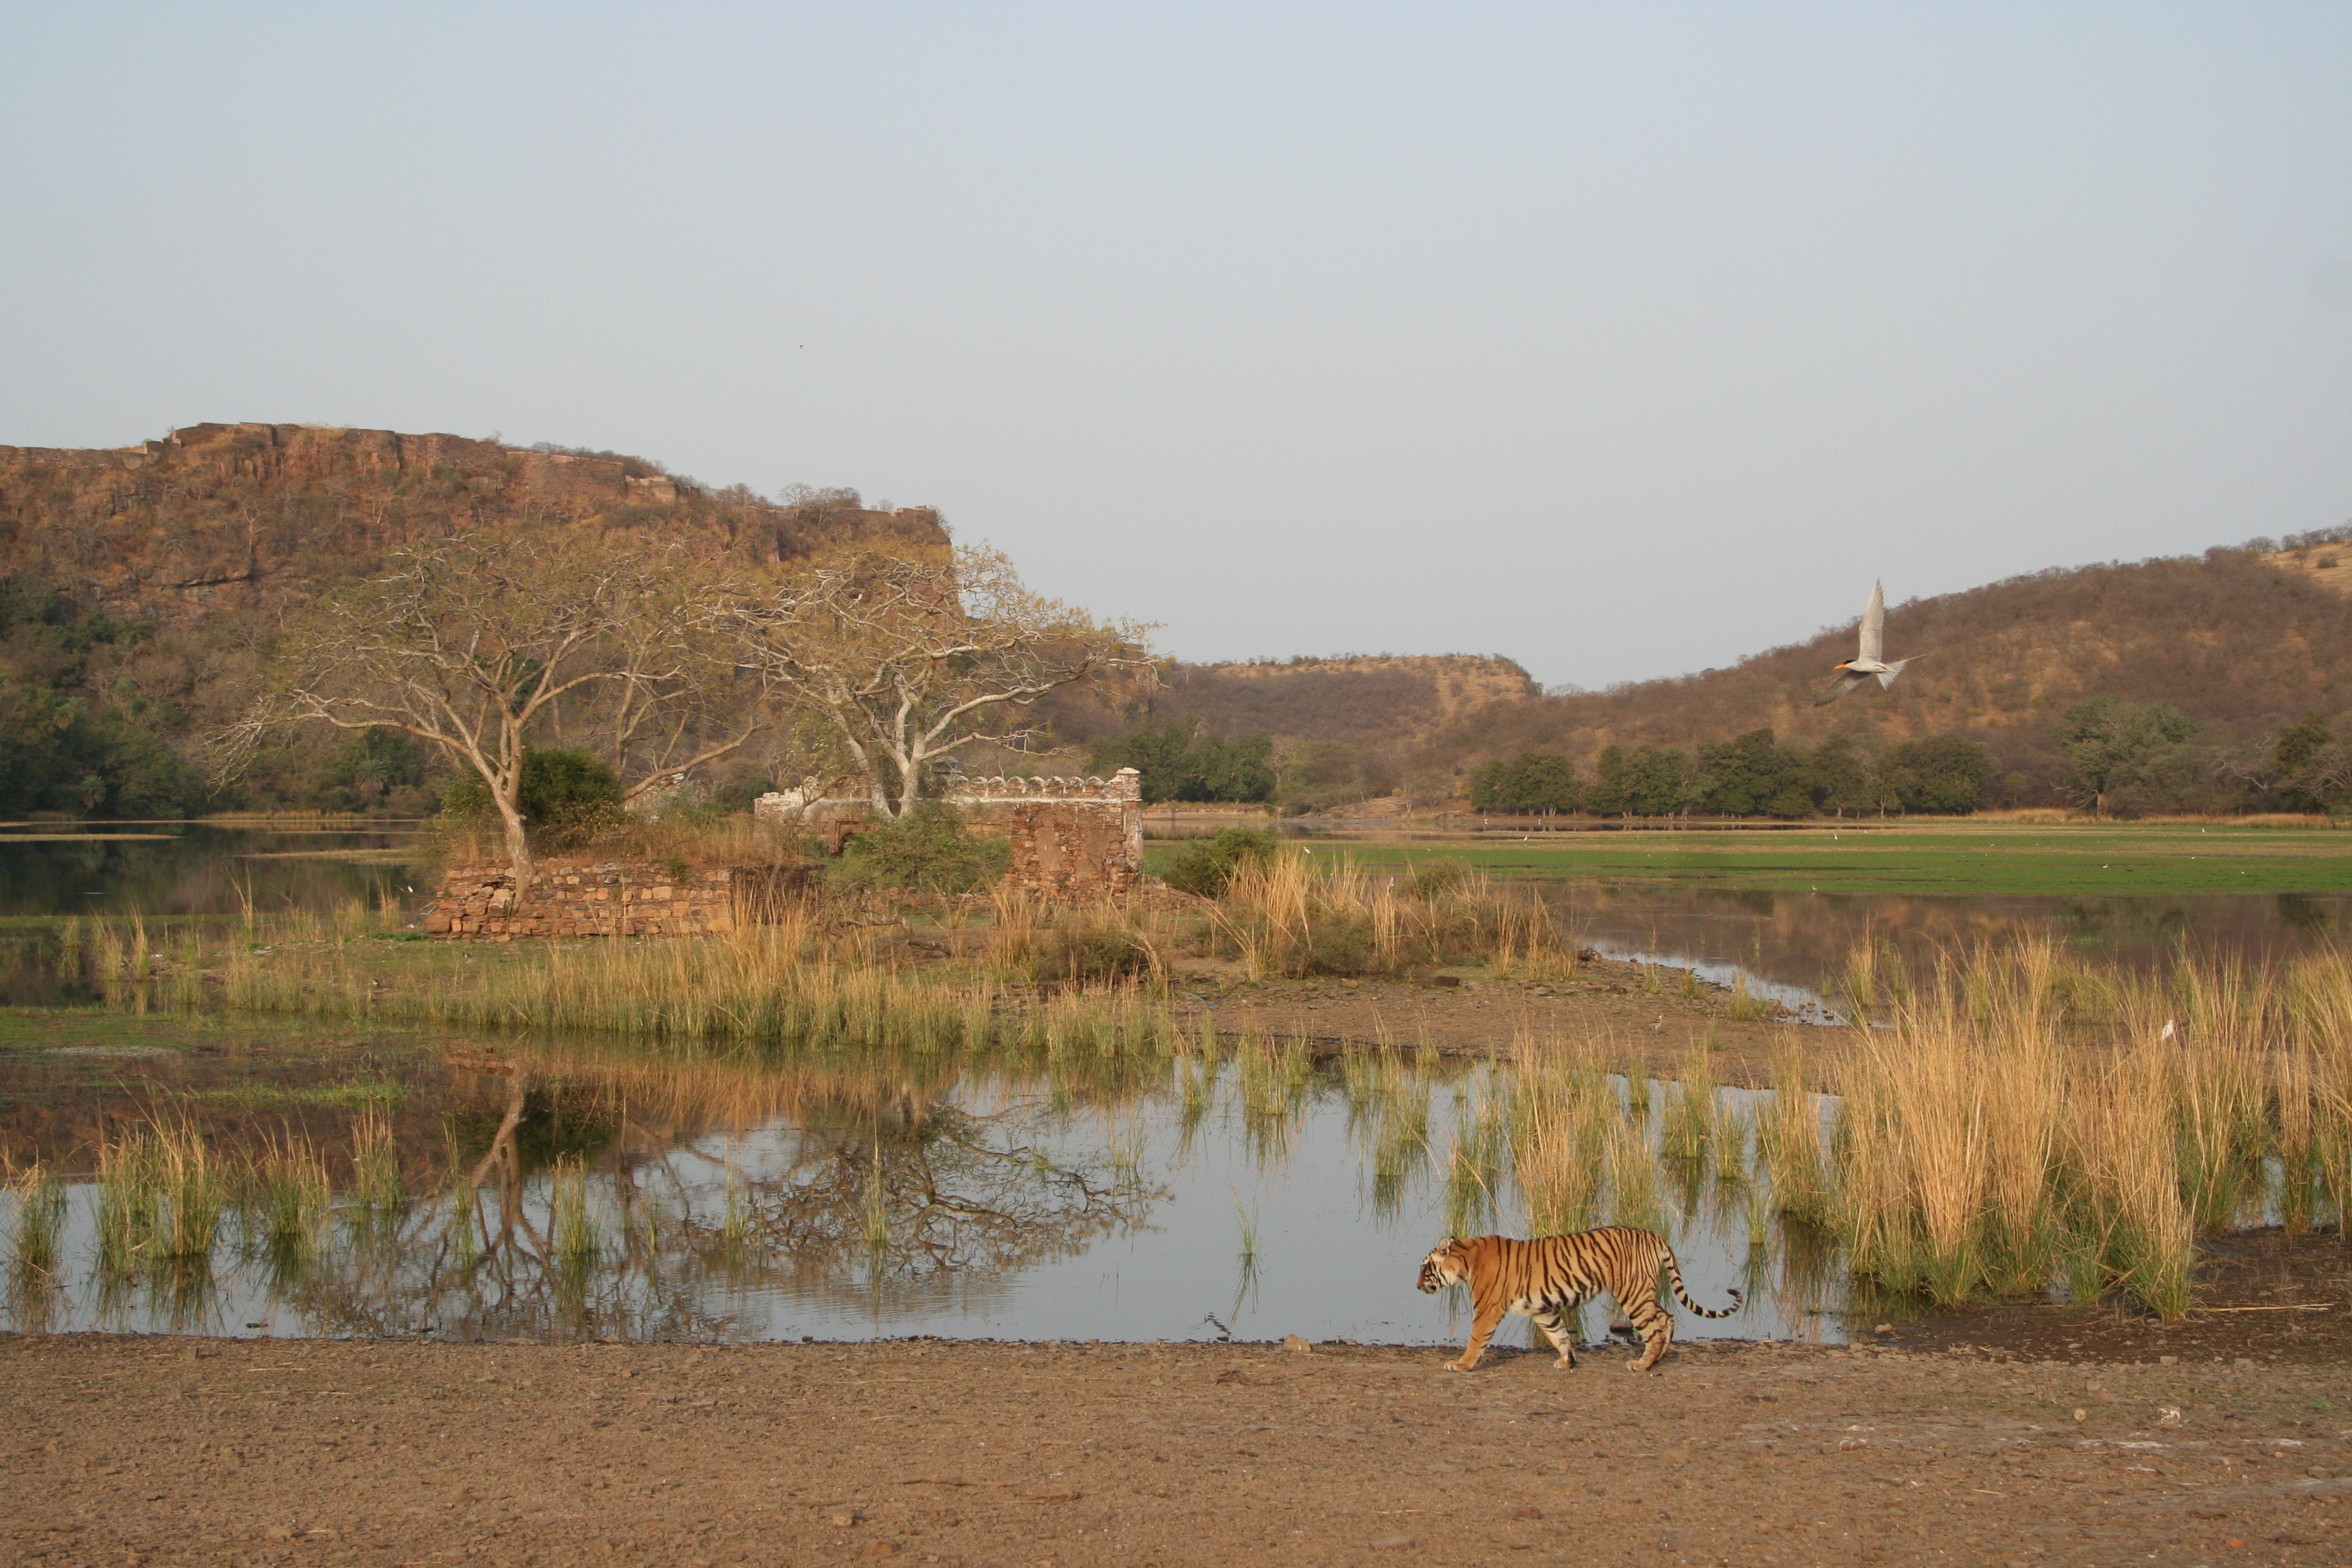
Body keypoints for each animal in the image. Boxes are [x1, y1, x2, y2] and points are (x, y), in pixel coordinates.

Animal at [1411, 1222, 1750, 1373]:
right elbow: (1558, 1334)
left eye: (1425, 1268)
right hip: (1643, 1291)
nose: (1416, 1286)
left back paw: (1642, 1364)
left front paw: (1461, 1364)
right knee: (1666, 1316)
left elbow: (1476, 1339)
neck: (1466, 1259)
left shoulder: (1488, 1308)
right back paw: (1659, 1358)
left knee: (1656, 1324)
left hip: (1633, 1292)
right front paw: (1566, 1361)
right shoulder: (1543, 1309)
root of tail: (1653, 1235)